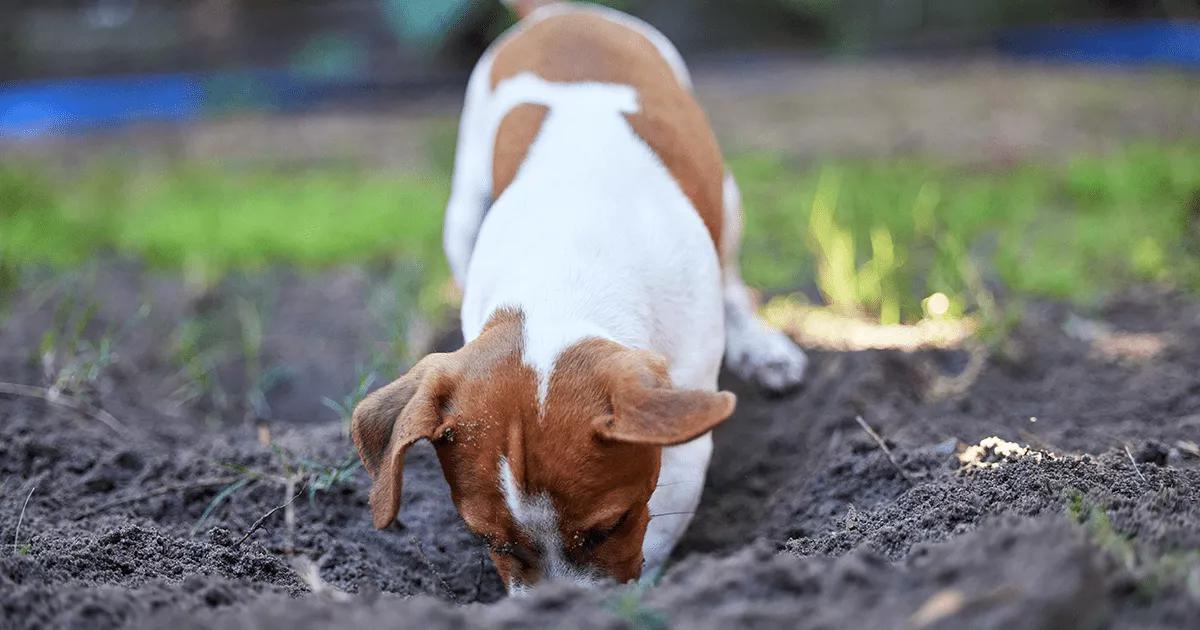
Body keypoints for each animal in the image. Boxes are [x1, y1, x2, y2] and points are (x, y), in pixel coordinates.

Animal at [350, 0, 811, 592]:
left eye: (611, 526)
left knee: (732, 276)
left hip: (727, 201)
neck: (563, 274)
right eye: (490, 541)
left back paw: (763, 346)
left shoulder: (683, 440)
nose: (558, 607)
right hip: (463, 212)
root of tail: (563, 10)